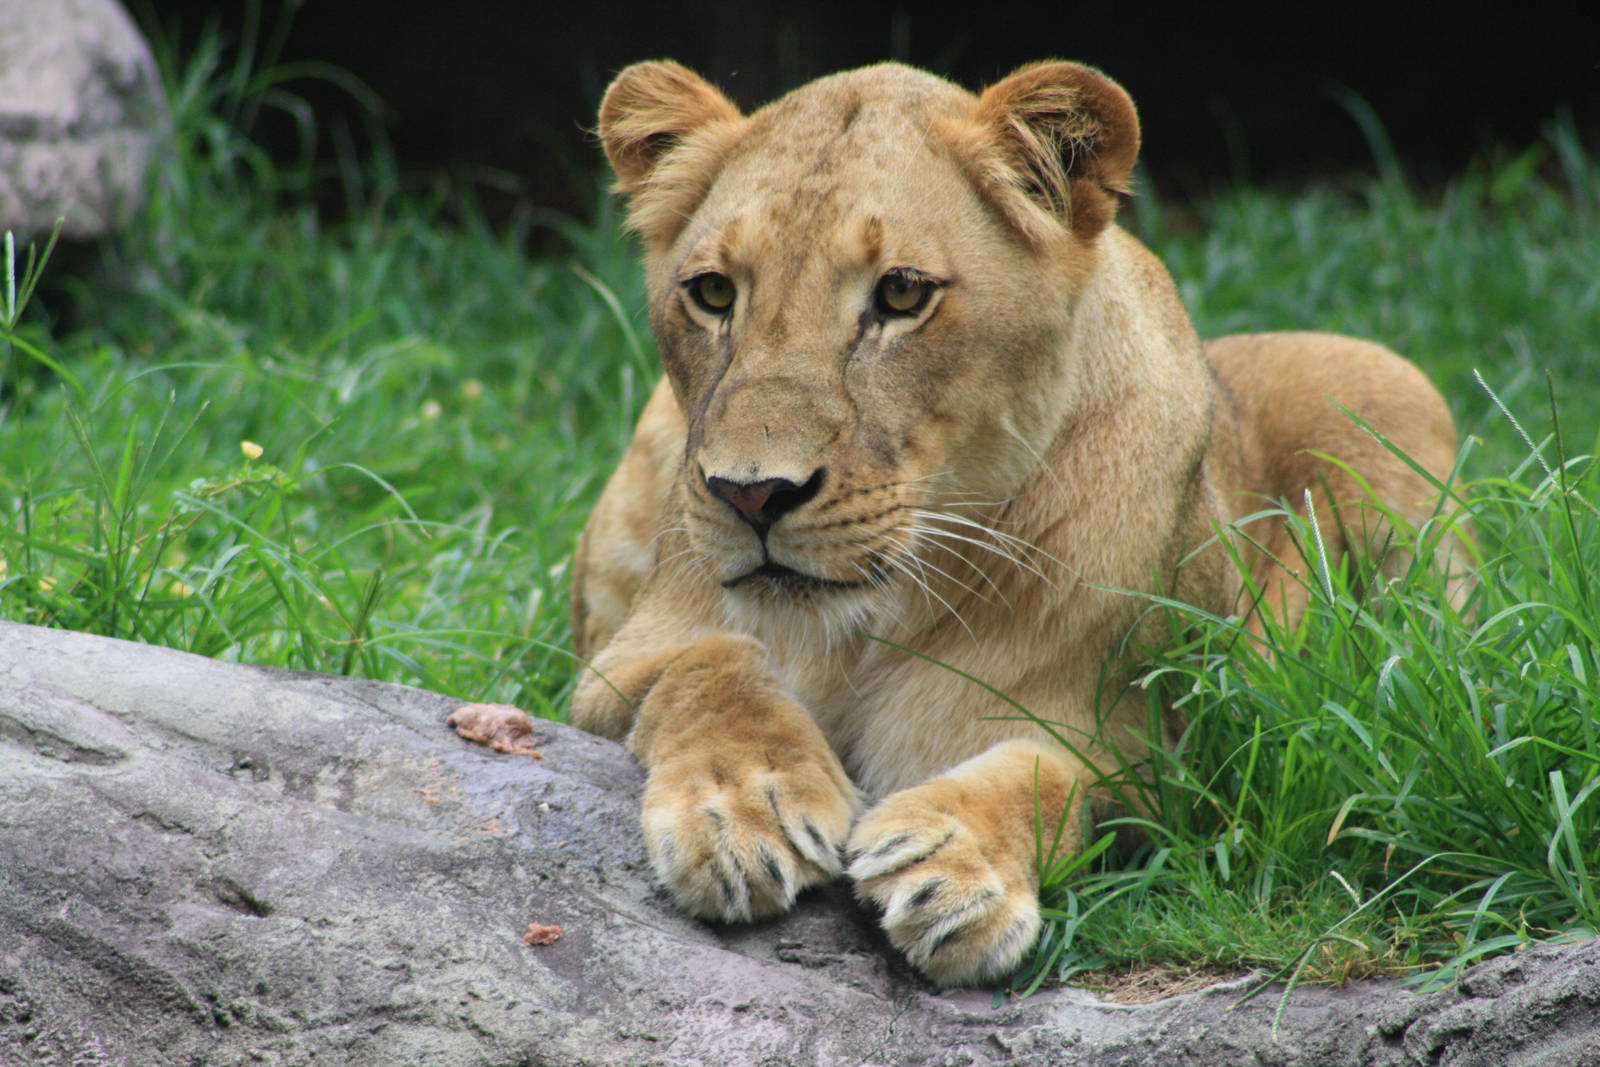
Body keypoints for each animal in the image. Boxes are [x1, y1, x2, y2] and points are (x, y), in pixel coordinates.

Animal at [567, 59, 1460, 987]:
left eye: (901, 292)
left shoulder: (1180, 746)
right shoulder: (603, 674)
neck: (864, 630)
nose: (752, 493)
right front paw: (745, 805)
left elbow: (1057, 775)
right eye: (712, 292)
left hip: (1386, 385)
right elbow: (707, 664)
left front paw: (954, 865)